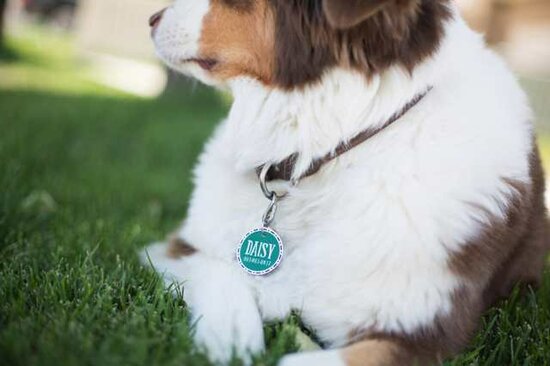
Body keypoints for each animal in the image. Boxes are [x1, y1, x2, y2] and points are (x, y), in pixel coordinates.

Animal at [143, 1, 550, 364]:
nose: (151, 18)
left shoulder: (424, 332)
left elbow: (298, 360)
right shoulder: (181, 247)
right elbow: (221, 273)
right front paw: (230, 341)